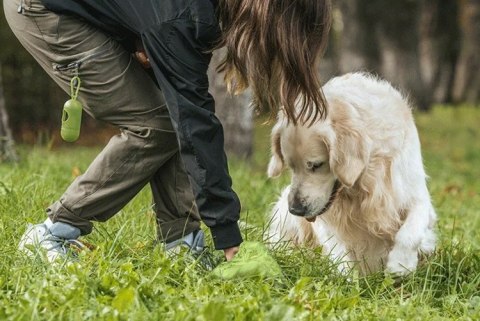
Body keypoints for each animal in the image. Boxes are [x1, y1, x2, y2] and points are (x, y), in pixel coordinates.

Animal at [268, 72, 436, 276]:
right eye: (291, 166)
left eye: (316, 165)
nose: (296, 210)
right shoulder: (325, 219)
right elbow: (338, 251)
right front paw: (345, 279)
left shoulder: (414, 193)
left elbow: (411, 231)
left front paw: (400, 264)